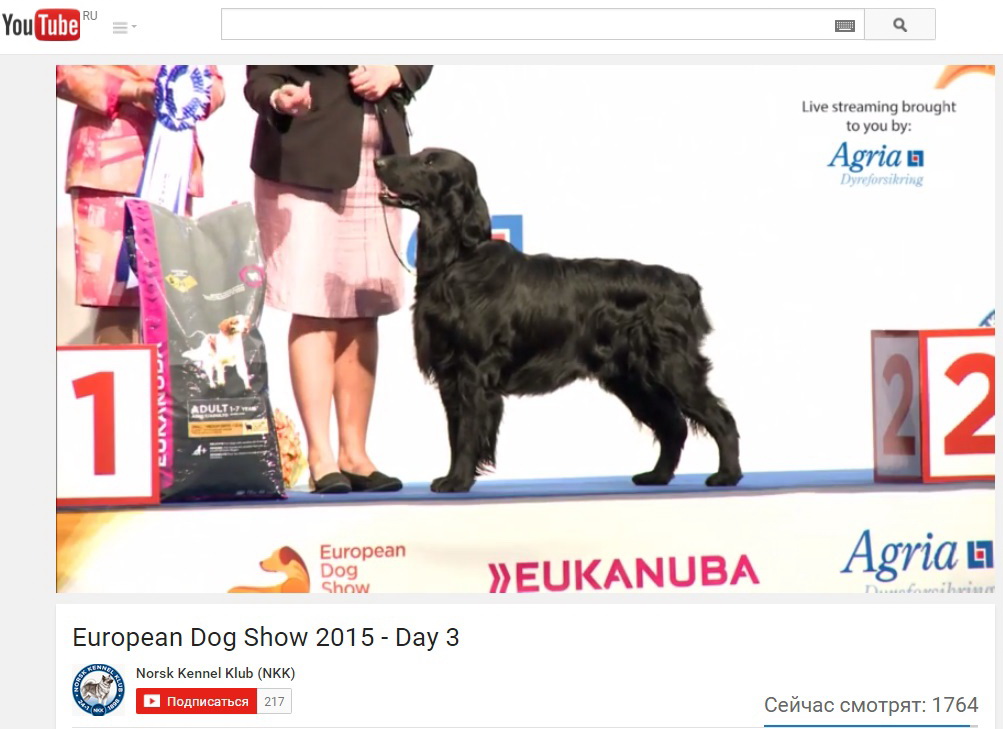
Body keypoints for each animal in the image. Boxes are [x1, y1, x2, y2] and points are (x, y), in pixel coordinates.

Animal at [375, 148, 742, 494]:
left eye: (430, 162)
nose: (378, 162)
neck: (457, 260)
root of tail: (683, 283)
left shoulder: (472, 370)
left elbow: (466, 433)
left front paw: (457, 481)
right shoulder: (450, 373)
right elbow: (455, 433)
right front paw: (453, 477)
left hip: (671, 367)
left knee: (720, 419)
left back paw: (727, 475)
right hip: (632, 379)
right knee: (673, 426)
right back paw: (657, 475)